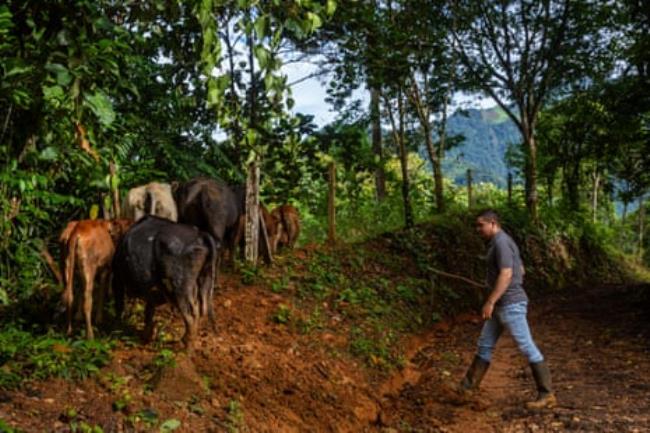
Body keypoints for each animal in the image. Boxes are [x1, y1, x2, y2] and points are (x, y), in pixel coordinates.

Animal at [113, 216, 218, 348]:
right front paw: (147, 335)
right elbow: (149, 311)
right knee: (202, 309)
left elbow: (120, 306)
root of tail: (200, 235)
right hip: (205, 280)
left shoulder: (117, 279)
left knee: (192, 313)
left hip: (180, 287)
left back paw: (186, 343)